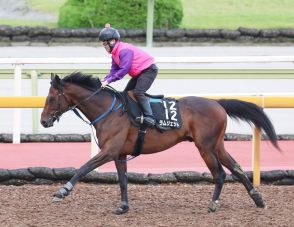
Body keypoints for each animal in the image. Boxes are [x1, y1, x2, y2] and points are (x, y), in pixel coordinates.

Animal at [40, 72, 280, 215]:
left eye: (51, 98)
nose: (43, 121)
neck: (108, 110)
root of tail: (217, 103)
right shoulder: (119, 153)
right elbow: (123, 181)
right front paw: (123, 207)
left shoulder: (109, 150)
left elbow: (84, 167)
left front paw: (62, 191)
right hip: (218, 145)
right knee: (236, 168)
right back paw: (259, 200)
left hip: (205, 146)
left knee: (220, 174)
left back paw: (213, 205)